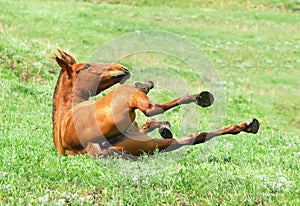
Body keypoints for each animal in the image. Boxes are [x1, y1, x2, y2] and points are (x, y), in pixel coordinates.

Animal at [51, 48, 260, 158]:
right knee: (160, 114)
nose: (122, 68)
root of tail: (91, 146)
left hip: (141, 142)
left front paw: (164, 126)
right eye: (86, 66)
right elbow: (152, 115)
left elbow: (149, 123)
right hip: (130, 103)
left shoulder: (136, 130)